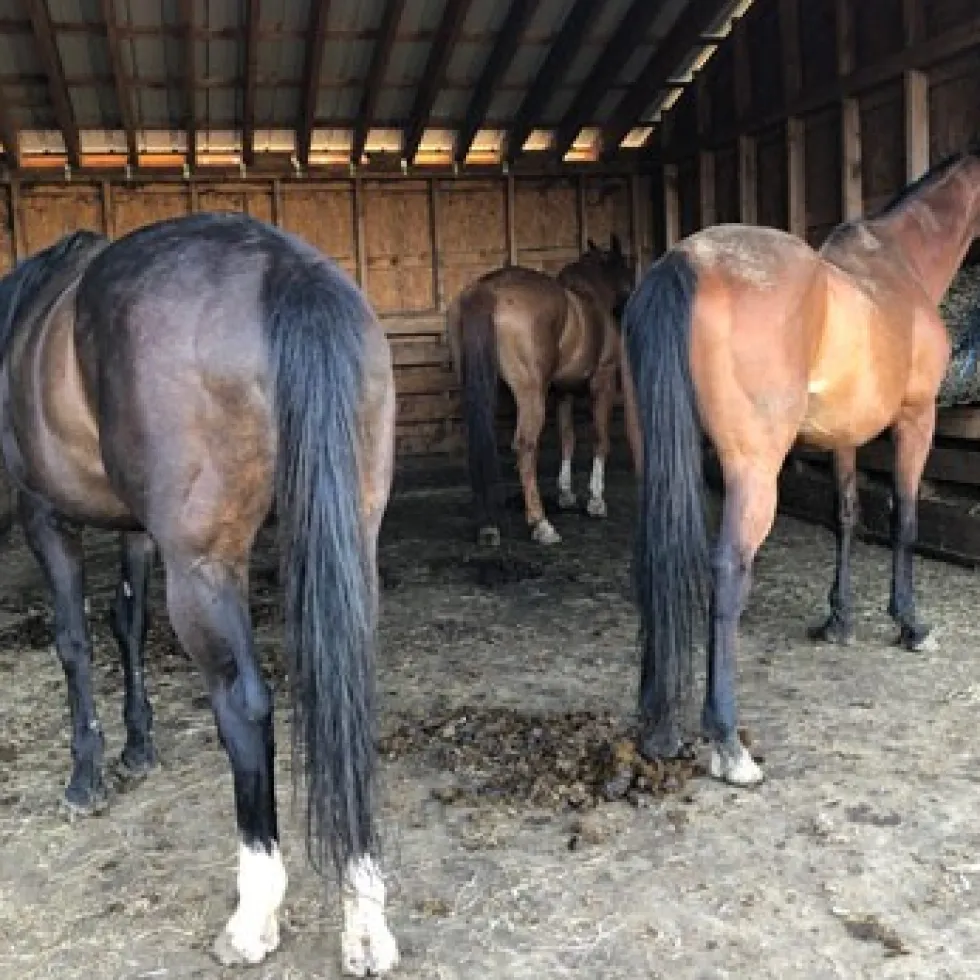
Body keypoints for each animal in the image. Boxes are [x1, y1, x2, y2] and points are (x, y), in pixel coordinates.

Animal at [0, 213, 399, 975]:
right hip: (352, 539)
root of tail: (281, 266)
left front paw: (87, 775)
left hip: (203, 569)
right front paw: (137, 747)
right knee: (348, 692)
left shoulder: (44, 517)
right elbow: (126, 622)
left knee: (243, 706)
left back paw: (254, 915)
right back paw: (363, 917)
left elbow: (73, 641)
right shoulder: (135, 531)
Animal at [447, 235, 634, 546]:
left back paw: (488, 526)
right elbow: (600, 439)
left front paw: (566, 493)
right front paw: (596, 500)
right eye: (625, 266)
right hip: (531, 394)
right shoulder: (603, 381)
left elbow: (567, 438)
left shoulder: (562, 392)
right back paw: (540, 522)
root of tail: (487, 290)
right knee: (525, 446)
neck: (591, 298)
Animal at [621, 149, 980, 787]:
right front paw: (911, 624)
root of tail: (684, 262)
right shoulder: (916, 420)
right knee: (728, 571)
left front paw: (838, 620)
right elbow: (905, 519)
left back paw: (660, 727)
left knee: (653, 560)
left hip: (653, 468)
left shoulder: (843, 437)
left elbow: (847, 515)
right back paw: (727, 742)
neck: (902, 263)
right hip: (752, 475)